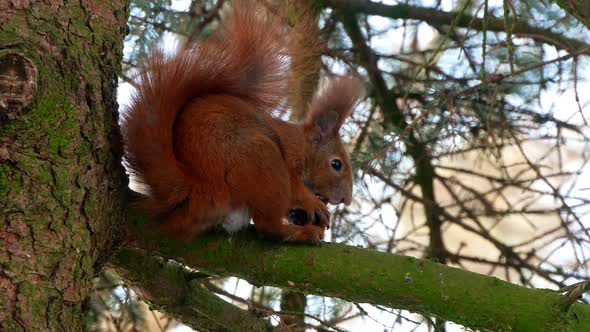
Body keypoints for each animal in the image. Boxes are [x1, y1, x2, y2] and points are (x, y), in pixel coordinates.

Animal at [121, 4, 366, 244]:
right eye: (336, 164)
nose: (346, 199)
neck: (302, 145)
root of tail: (204, 189)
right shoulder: (289, 156)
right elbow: (295, 186)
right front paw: (312, 204)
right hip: (264, 161)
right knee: (268, 228)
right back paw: (303, 234)